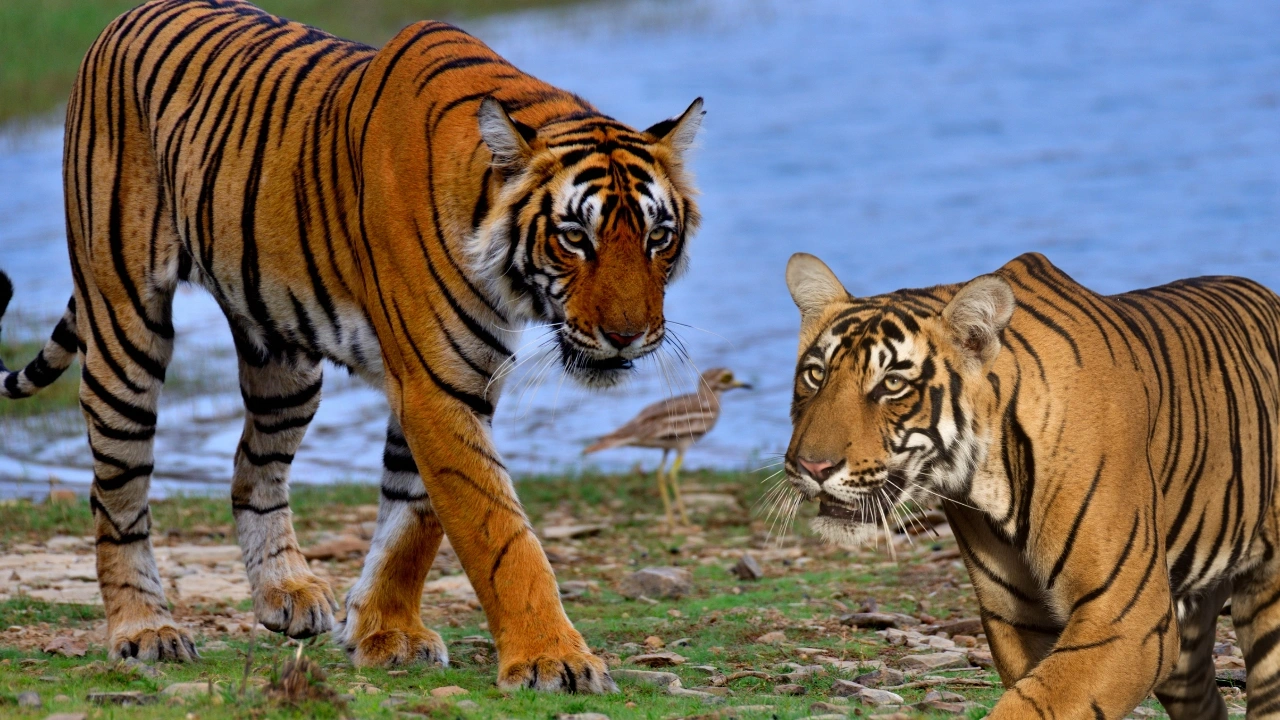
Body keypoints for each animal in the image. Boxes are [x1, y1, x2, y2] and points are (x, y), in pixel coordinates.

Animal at [0, 0, 704, 692]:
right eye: (575, 237)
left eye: (658, 237)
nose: (627, 335)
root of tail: (121, 20)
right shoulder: (435, 385)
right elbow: (499, 532)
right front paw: (551, 659)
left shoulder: (451, 380)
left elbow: (412, 520)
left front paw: (385, 633)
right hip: (124, 326)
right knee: (116, 492)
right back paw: (145, 630)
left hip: (284, 363)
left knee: (252, 467)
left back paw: (285, 592)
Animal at [780, 251, 1280, 719]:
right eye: (815, 375)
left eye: (893, 384)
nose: (812, 466)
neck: (988, 479)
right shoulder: (1019, 615)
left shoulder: (1128, 618)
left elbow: (1037, 702)